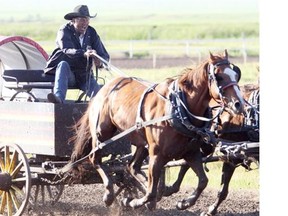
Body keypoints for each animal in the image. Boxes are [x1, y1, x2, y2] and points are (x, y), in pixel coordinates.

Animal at [70, 50, 245, 209]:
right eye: (219, 77)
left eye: (236, 75)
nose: (239, 104)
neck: (179, 108)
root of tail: (104, 89)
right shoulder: (157, 154)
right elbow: (150, 193)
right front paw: (133, 201)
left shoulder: (191, 153)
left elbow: (203, 181)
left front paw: (184, 203)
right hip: (102, 132)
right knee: (95, 159)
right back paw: (109, 193)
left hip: (142, 143)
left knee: (132, 167)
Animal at [162, 83, 258, 215]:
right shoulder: (232, 157)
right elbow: (223, 189)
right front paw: (210, 209)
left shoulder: (233, 157)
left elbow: (223, 190)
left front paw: (211, 209)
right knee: (185, 163)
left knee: (187, 162)